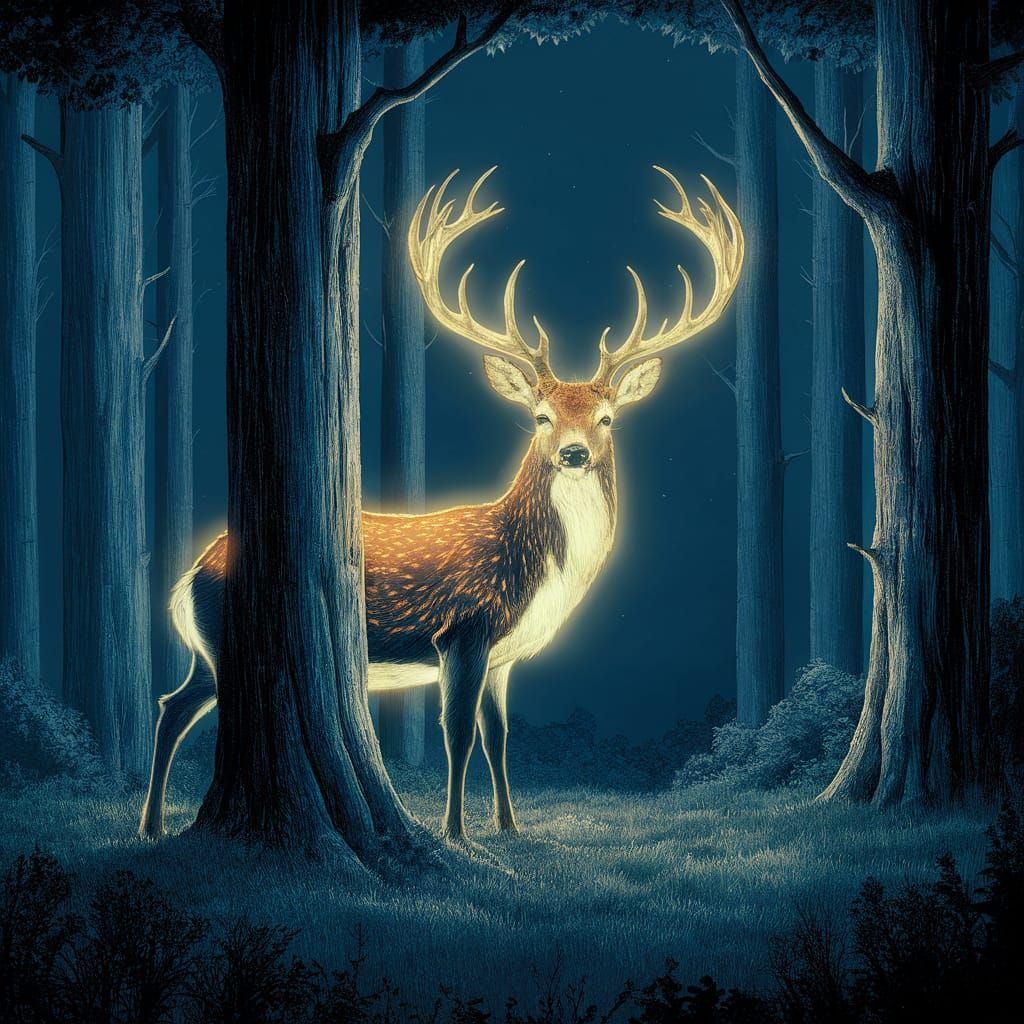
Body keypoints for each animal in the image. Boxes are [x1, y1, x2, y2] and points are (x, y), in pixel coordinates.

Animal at [138, 166, 744, 842]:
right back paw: (154, 823)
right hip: (227, 635)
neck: (534, 569)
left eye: (607, 419)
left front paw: (509, 827)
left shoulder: (504, 656)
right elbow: (457, 736)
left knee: (171, 705)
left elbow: (498, 738)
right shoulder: (464, 629)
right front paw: (456, 831)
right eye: (541, 416)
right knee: (187, 710)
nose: (574, 453)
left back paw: (150, 826)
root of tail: (190, 571)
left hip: (208, 648)